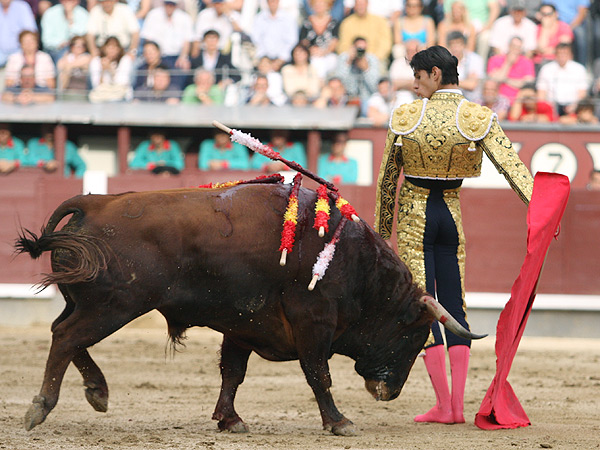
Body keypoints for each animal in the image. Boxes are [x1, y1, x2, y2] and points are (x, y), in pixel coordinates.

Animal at [15, 183, 482, 436]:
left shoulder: (242, 326)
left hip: (90, 302)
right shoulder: (313, 322)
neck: (355, 264)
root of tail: (95, 202)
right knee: (67, 337)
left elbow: (233, 373)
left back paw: (98, 392)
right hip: (116, 305)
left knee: (64, 333)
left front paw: (230, 419)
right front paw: (339, 422)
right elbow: (318, 374)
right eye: (414, 337)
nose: (391, 392)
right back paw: (41, 407)